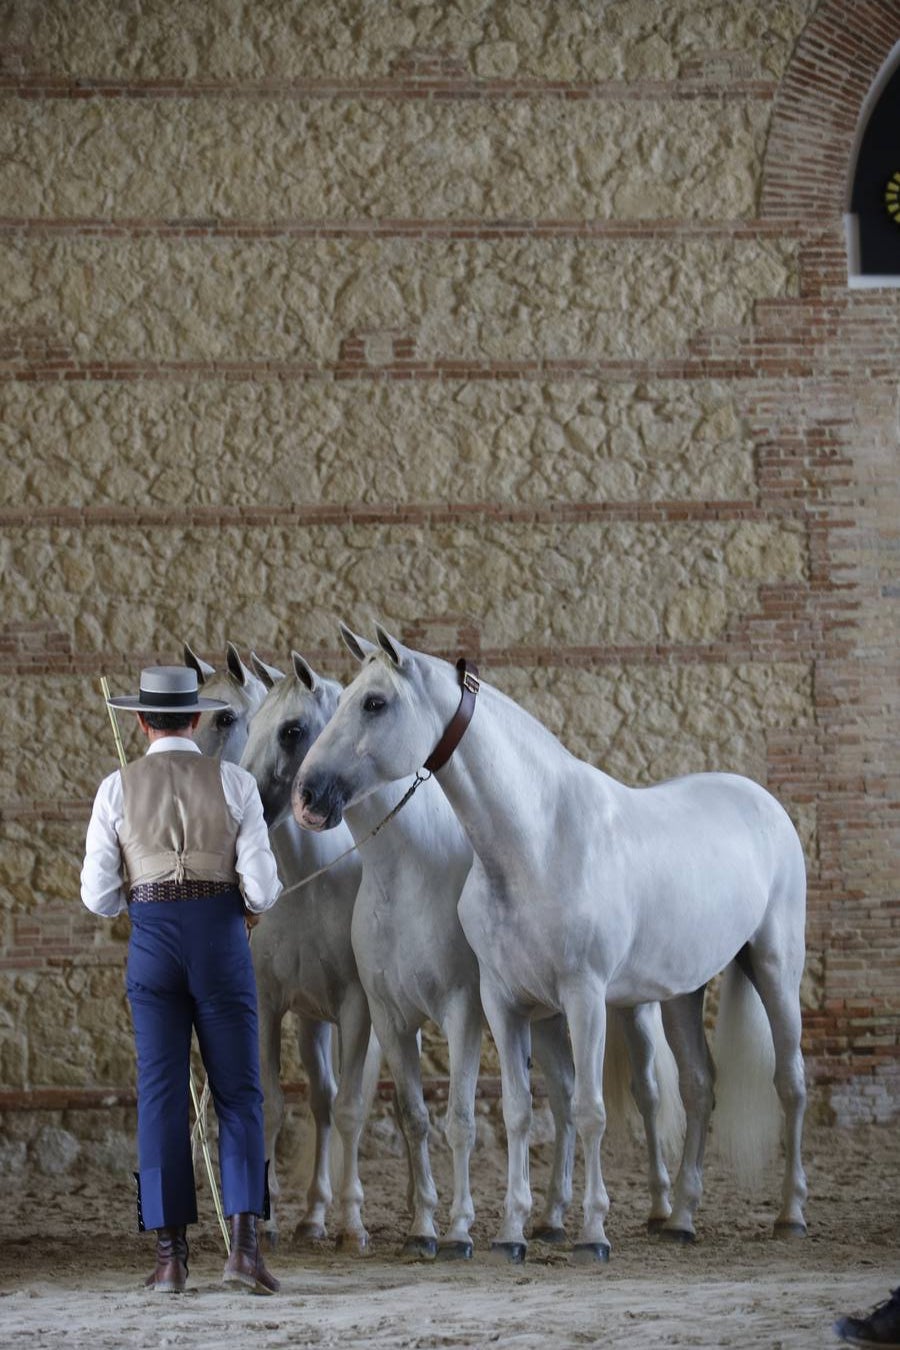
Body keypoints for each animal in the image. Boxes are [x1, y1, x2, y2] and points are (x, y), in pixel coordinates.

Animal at [242, 629, 680, 1252]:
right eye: (250, 723)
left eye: (292, 729)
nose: (306, 798)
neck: (405, 874)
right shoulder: (382, 1014)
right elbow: (411, 1115)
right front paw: (421, 1226)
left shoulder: (459, 1010)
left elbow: (458, 1119)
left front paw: (456, 1227)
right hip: (547, 1017)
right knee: (564, 1101)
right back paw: (551, 1218)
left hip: (624, 1008)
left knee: (644, 1094)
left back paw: (660, 1210)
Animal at [295, 626, 809, 1258]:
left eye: (374, 702)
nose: (308, 795)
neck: (539, 841)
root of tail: (763, 802)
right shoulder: (502, 1002)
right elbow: (519, 1112)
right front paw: (511, 1232)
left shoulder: (583, 998)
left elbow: (588, 1111)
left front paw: (592, 1234)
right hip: (682, 994)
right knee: (698, 1088)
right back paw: (682, 1218)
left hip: (775, 970)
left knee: (790, 1083)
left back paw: (789, 1214)